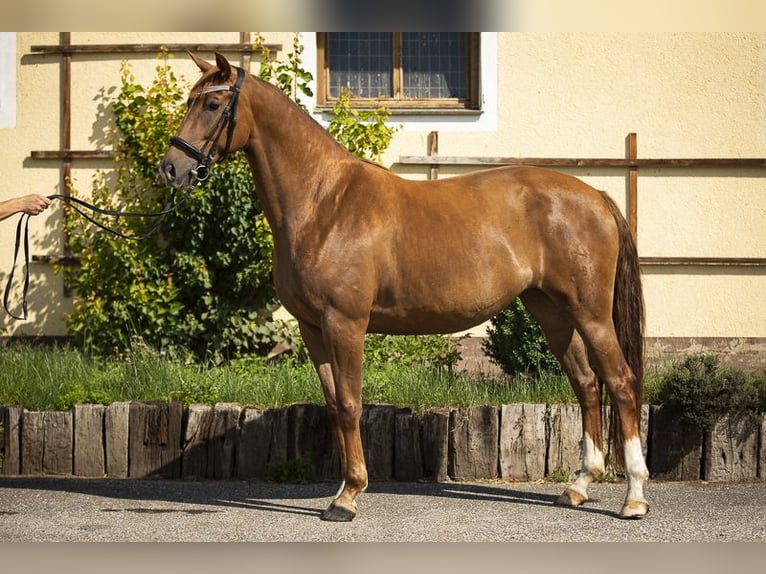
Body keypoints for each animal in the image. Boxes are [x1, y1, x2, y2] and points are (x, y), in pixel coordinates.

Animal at [159, 53, 652, 520]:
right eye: (190, 101)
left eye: (213, 105)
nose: (171, 169)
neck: (324, 203)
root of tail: (596, 197)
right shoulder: (312, 328)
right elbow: (335, 406)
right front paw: (343, 490)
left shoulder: (346, 325)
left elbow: (352, 404)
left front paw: (348, 497)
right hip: (551, 310)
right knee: (586, 384)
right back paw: (578, 487)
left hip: (590, 313)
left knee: (621, 382)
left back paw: (634, 497)